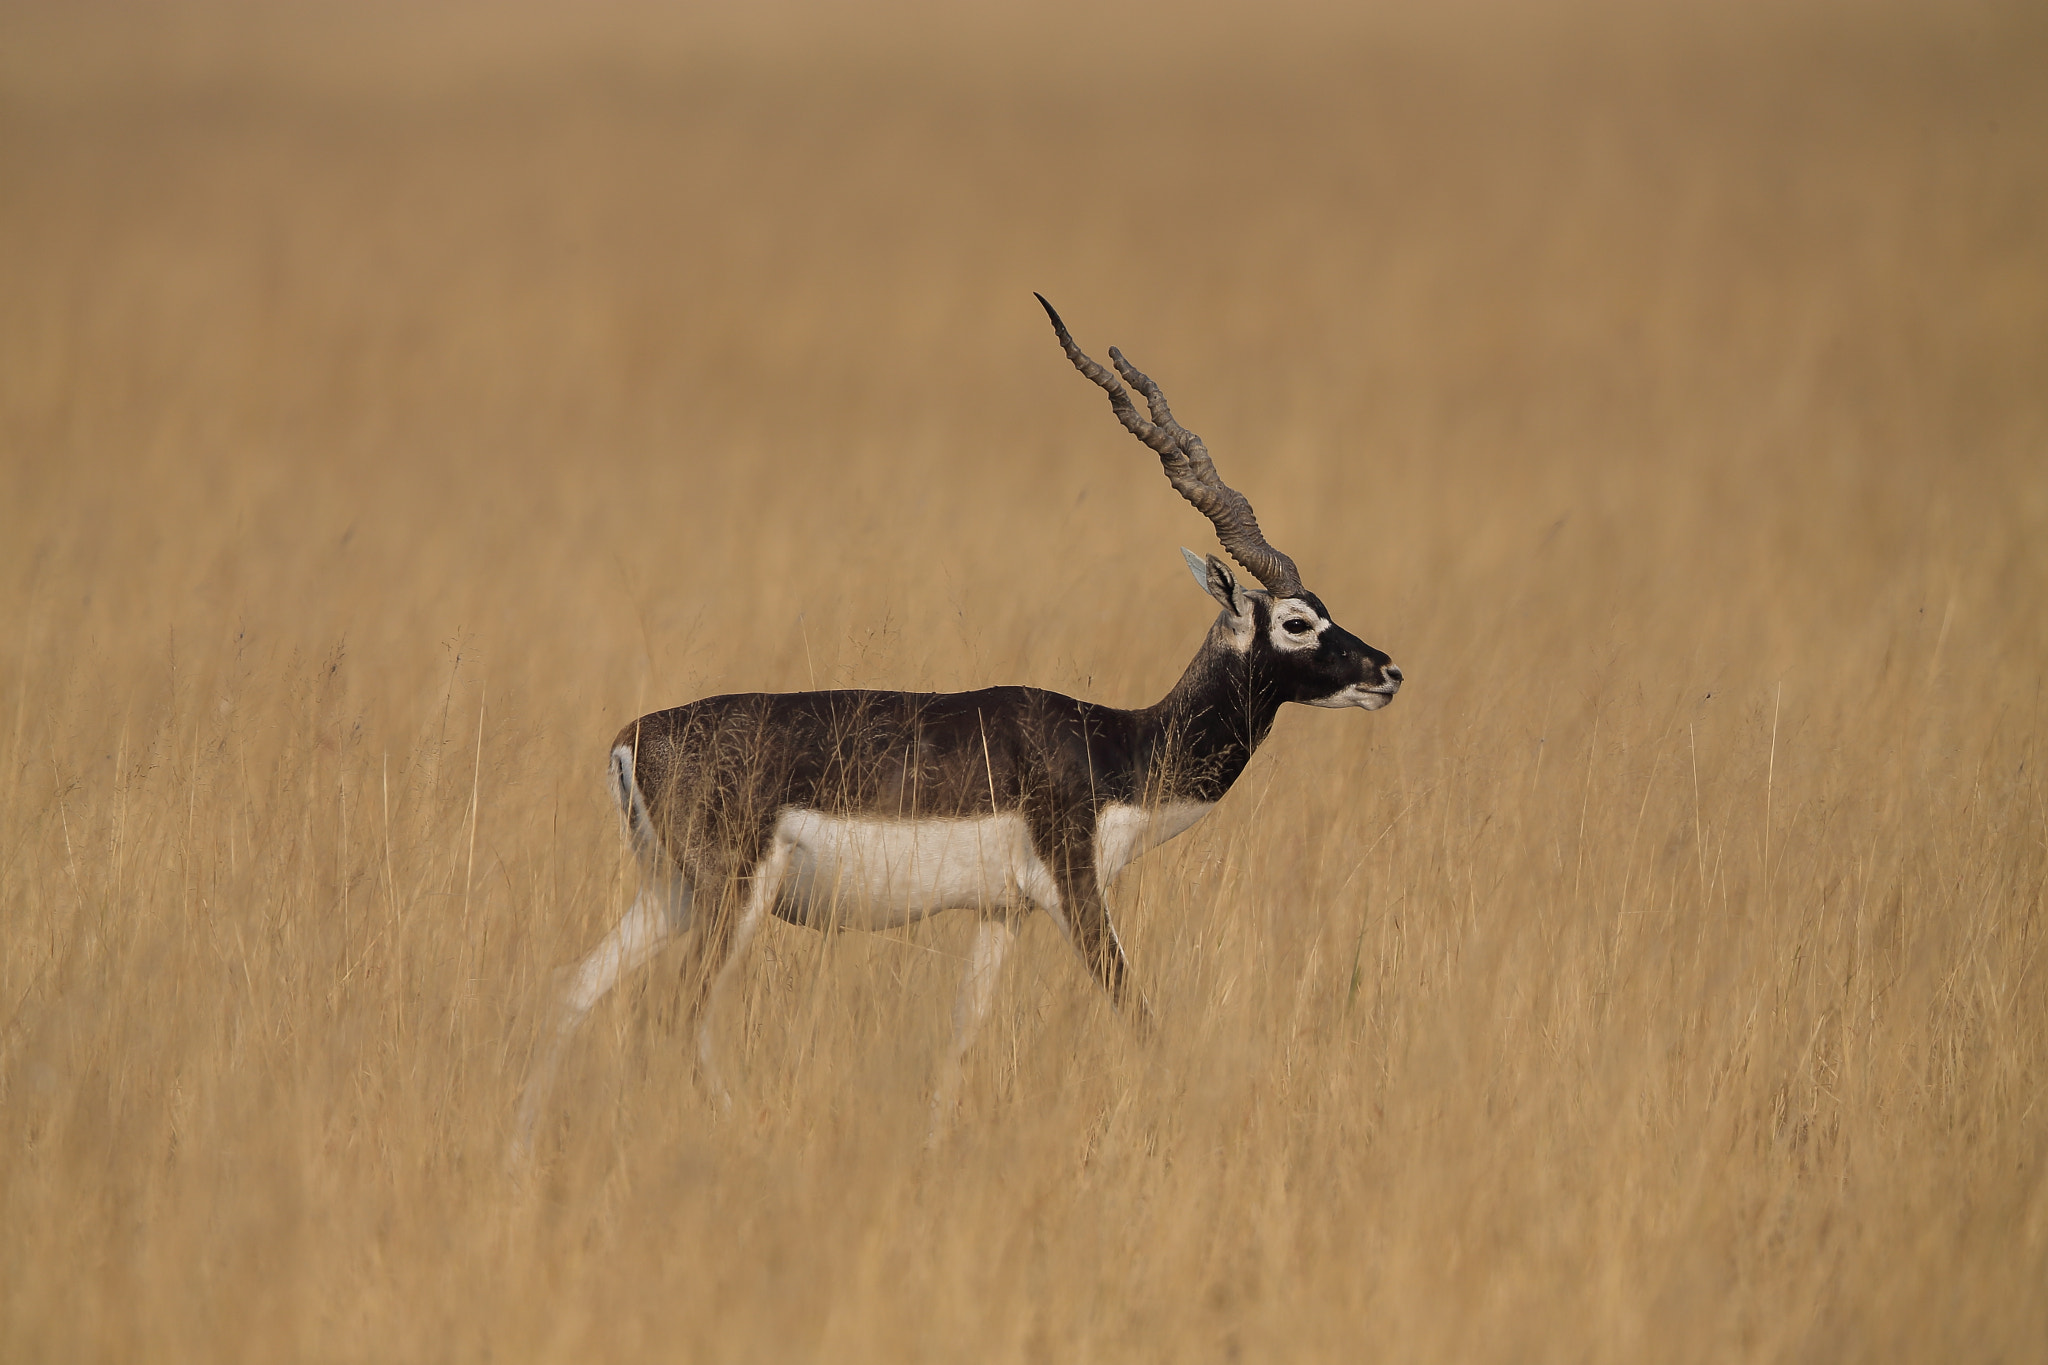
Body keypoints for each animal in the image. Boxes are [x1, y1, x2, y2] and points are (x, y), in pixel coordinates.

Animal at [520, 296, 1400, 1154]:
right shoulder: (1076, 890)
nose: (1387, 671)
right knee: (673, 1016)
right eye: (1294, 622)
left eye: (1323, 607)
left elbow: (960, 1039)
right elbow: (1140, 1015)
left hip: (669, 891)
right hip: (729, 895)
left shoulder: (1000, 913)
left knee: (569, 990)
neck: (1116, 746)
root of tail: (631, 740)